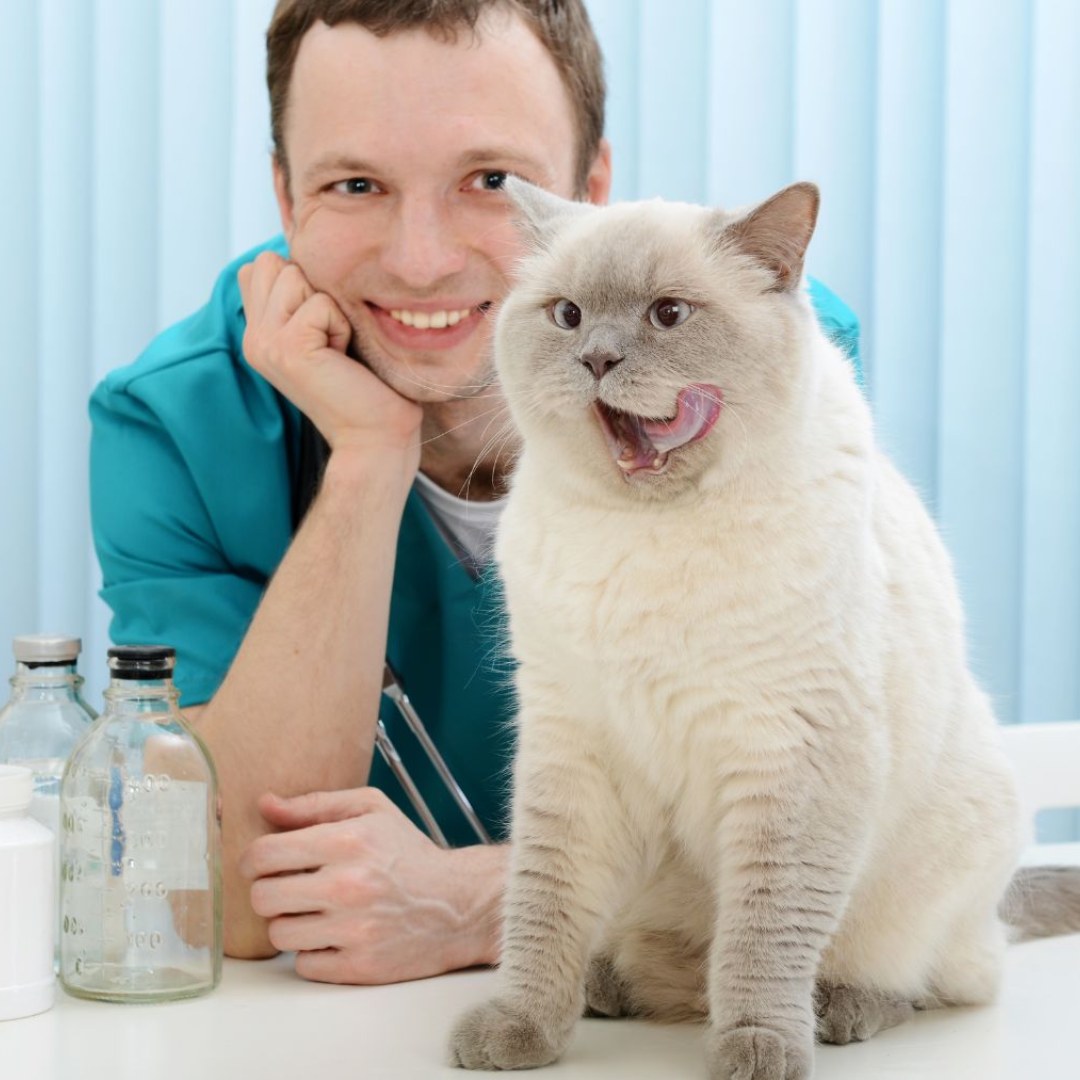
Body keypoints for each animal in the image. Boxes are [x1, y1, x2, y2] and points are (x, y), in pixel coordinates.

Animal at [447, 181, 1080, 1075]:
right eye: (567, 316)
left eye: (669, 314)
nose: (596, 360)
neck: (647, 533)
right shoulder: (572, 744)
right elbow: (542, 909)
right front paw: (519, 1029)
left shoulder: (791, 751)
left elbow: (763, 934)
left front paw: (755, 1047)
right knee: (659, 964)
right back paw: (610, 988)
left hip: (933, 868)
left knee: (923, 977)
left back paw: (833, 1011)